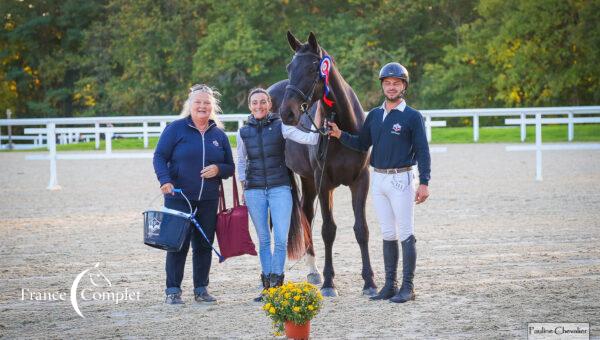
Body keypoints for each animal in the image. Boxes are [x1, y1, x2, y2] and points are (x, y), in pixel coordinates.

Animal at [270, 32, 378, 298]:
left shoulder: (360, 181)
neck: (342, 127)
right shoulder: (324, 182)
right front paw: (330, 283)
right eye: (289, 67)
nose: (286, 113)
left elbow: (361, 229)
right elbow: (328, 230)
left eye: (312, 68)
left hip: (308, 180)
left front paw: (369, 282)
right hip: (306, 179)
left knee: (306, 213)